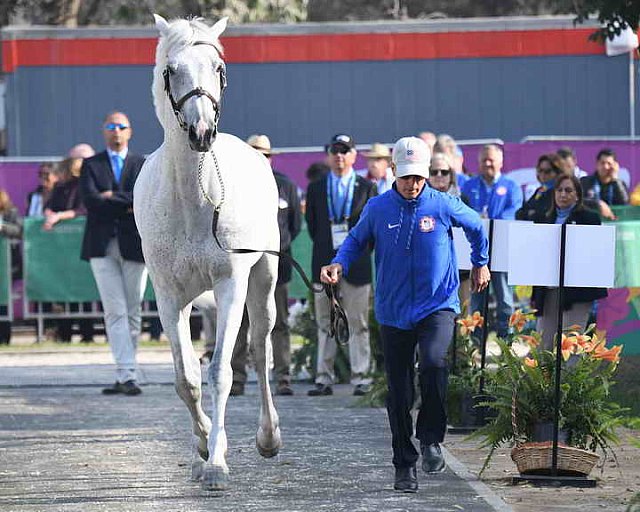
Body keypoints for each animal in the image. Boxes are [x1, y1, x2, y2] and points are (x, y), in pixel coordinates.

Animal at [135, 14, 282, 490]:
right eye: (172, 69)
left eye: (218, 68)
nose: (202, 133)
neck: (194, 198)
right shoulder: (168, 296)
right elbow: (187, 379)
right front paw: (202, 445)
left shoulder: (230, 283)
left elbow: (220, 372)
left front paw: (217, 463)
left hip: (264, 280)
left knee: (260, 348)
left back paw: (269, 438)